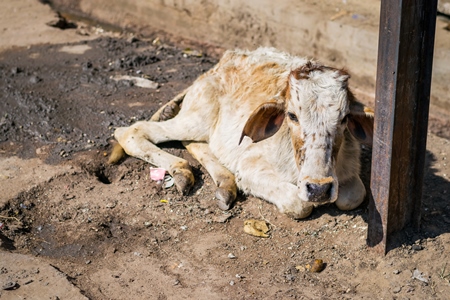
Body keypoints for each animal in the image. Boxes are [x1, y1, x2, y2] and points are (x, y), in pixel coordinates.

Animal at [110, 48, 374, 219]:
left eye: (344, 118)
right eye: (292, 115)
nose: (318, 189)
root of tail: (221, 62)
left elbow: (354, 195)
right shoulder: (249, 166)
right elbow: (299, 204)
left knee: (196, 143)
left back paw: (224, 186)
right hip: (196, 118)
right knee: (130, 131)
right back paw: (182, 170)